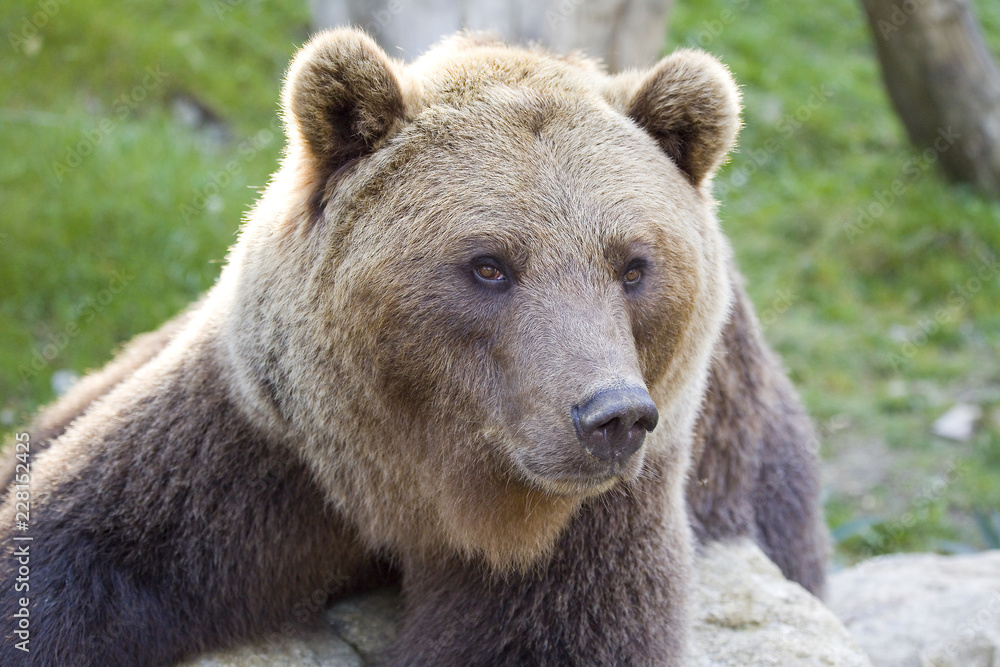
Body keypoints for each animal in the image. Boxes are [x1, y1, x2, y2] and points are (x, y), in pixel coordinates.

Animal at [1, 28, 826, 665]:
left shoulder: (595, 517)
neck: (424, 485)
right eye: (489, 264)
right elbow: (86, 547)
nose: (611, 414)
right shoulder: (268, 436)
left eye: (633, 265)